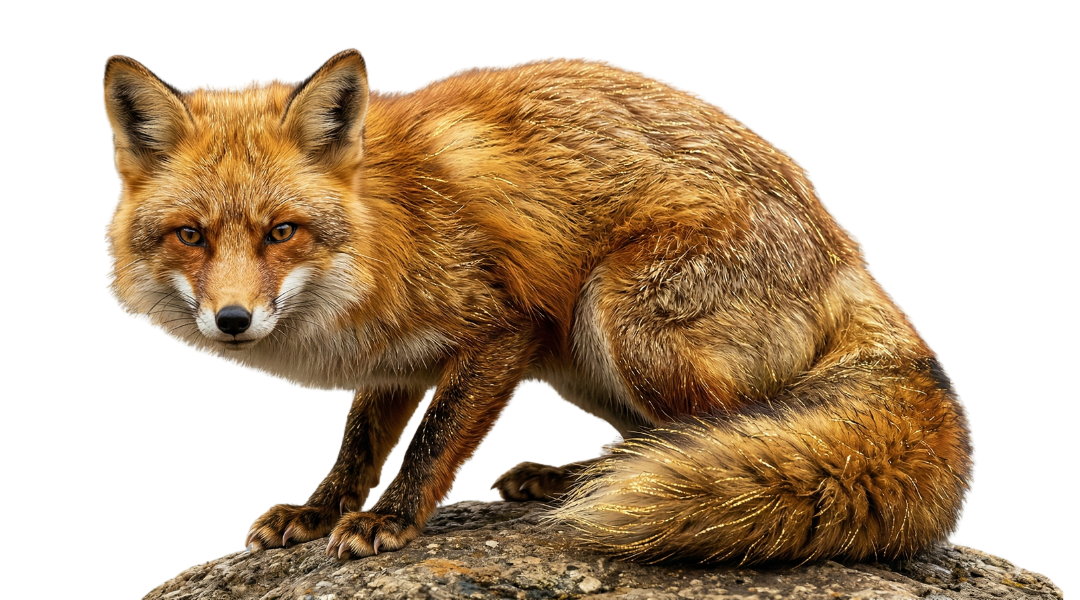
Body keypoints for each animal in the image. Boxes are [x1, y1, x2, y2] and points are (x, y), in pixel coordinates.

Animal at [103, 48, 975, 564]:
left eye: (282, 231)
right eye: (190, 235)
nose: (233, 321)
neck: (387, 224)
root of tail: (848, 248)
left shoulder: (503, 326)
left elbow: (434, 443)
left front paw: (391, 520)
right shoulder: (396, 361)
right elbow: (357, 447)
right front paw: (317, 513)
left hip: (617, 312)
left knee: (735, 426)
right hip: (582, 358)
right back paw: (574, 475)